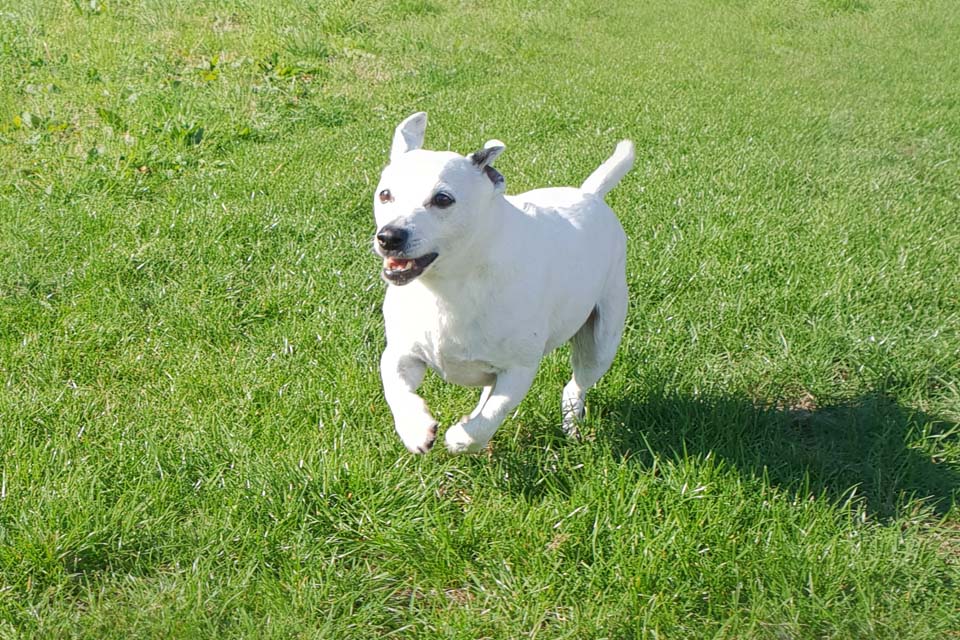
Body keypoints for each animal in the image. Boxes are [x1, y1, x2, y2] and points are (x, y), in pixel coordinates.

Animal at [372, 115, 632, 456]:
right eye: (385, 194)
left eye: (443, 199)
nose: (389, 236)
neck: (449, 287)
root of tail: (591, 194)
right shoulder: (402, 353)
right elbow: (396, 388)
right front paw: (415, 428)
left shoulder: (518, 371)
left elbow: (491, 416)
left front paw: (460, 438)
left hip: (600, 343)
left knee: (574, 384)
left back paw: (572, 424)